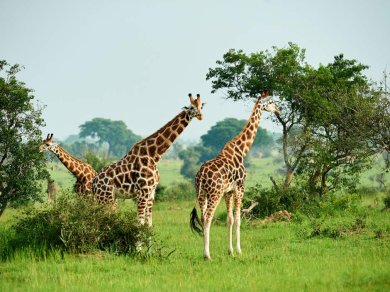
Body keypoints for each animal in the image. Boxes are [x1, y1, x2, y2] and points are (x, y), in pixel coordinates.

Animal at [92, 93, 204, 226]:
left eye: (201, 106)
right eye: (191, 107)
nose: (201, 116)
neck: (154, 155)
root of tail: (94, 183)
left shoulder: (151, 192)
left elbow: (148, 223)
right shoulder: (143, 191)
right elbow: (140, 223)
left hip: (110, 198)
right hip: (105, 197)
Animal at [190, 91, 278, 260]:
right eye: (271, 102)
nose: (279, 110)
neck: (242, 150)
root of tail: (201, 175)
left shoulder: (228, 191)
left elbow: (229, 219)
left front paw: (230, 251)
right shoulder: (240, 187)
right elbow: (238, 219)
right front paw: (239, 250)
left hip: (201, 193)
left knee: (203, 218)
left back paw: (204, 253)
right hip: (214, 193)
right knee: (208, 218)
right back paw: (207, 255)